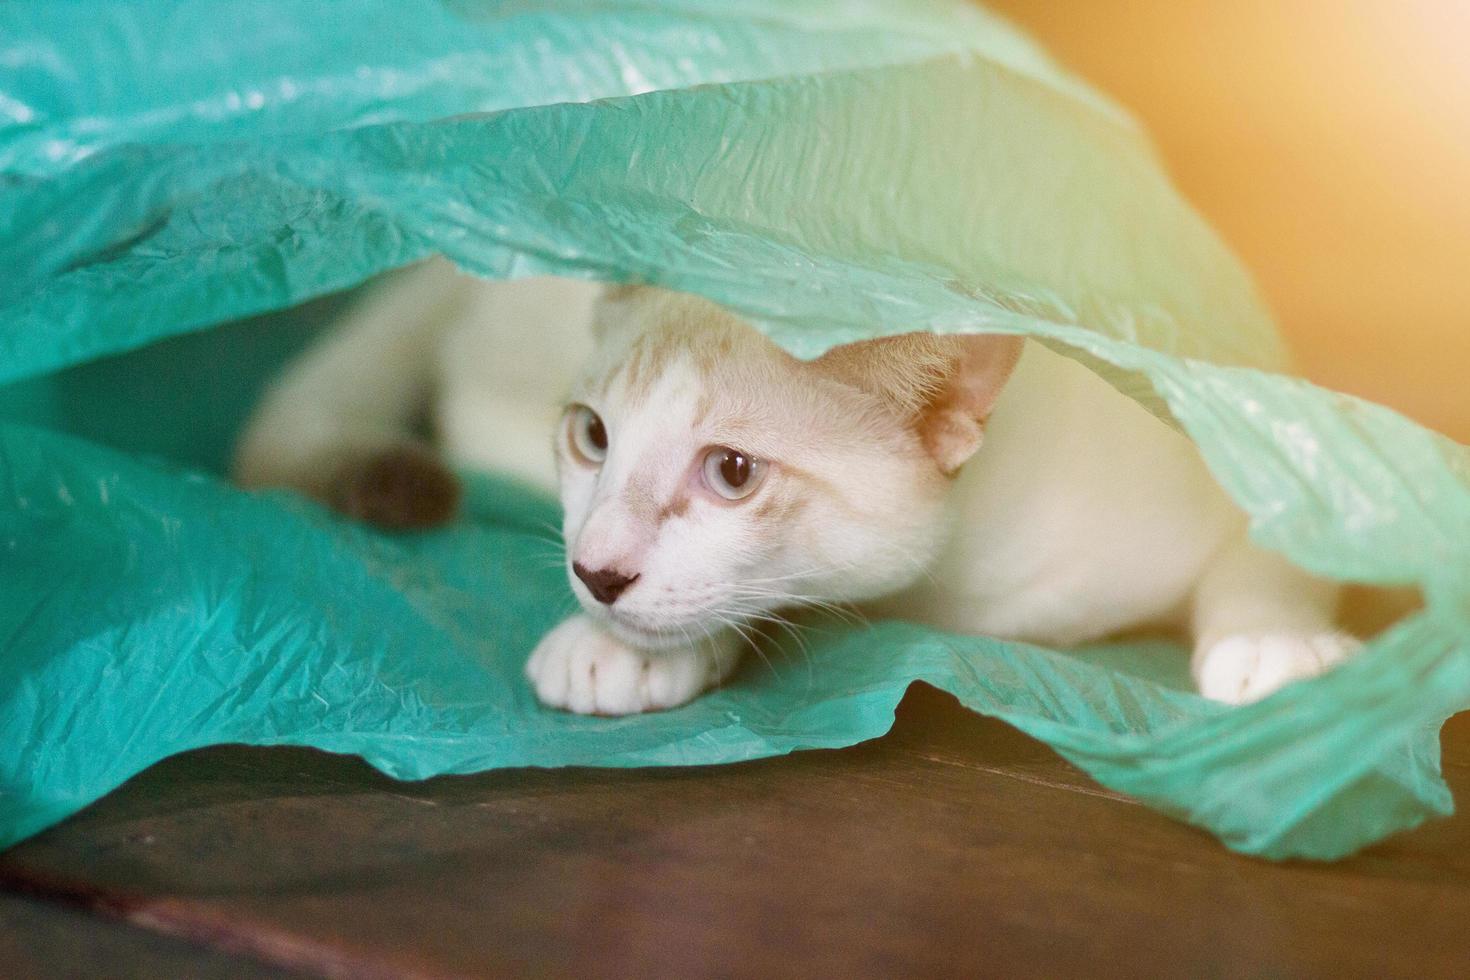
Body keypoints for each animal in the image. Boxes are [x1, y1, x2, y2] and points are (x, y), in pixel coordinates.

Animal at [238, 262, 1352, 714]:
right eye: (593, 438)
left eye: (731, 473)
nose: (595, 574)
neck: (945, 595)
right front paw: (622, 651)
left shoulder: (1231, 427)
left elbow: (1277, 543)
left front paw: (1279, 648)